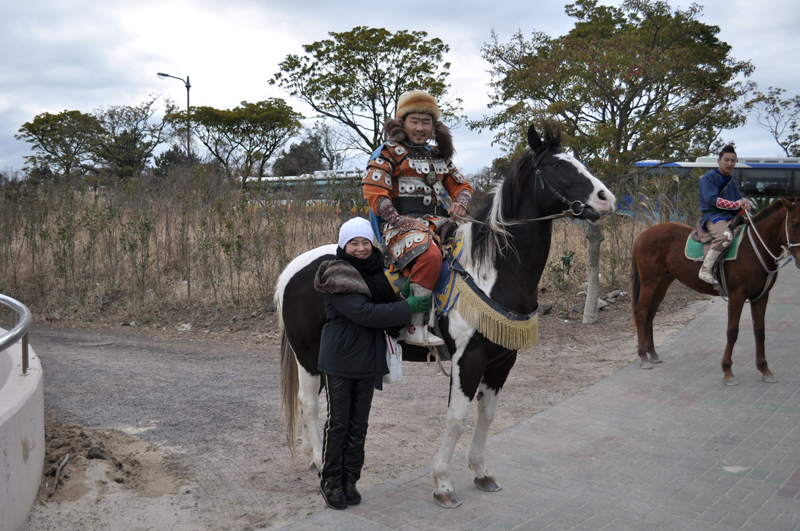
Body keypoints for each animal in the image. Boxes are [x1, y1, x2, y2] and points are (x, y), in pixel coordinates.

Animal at [276, 120, 616, 508]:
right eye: (559, 165)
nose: (606, 198)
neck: (492, 272)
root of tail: (294, 269)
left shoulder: (503, 358)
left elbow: (487, 414)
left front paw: (481, 471)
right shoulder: (468, 358)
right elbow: (457, 417)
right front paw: (442, 482)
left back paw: (312, 458)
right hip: (308, 355)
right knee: (309, 403)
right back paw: (320, 463)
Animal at [631, 197, 800, 385]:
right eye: (794, 224)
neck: (753, 248)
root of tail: (643, 234)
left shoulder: (761, 296)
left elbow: (760, 330)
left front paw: (764, 369)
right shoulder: (736, 296)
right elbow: (732, 331)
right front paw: (727, 370)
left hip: (662, 282)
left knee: (650, 314)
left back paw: (652, 353)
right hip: (649, 281)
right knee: (641, 313)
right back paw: (643, 357)